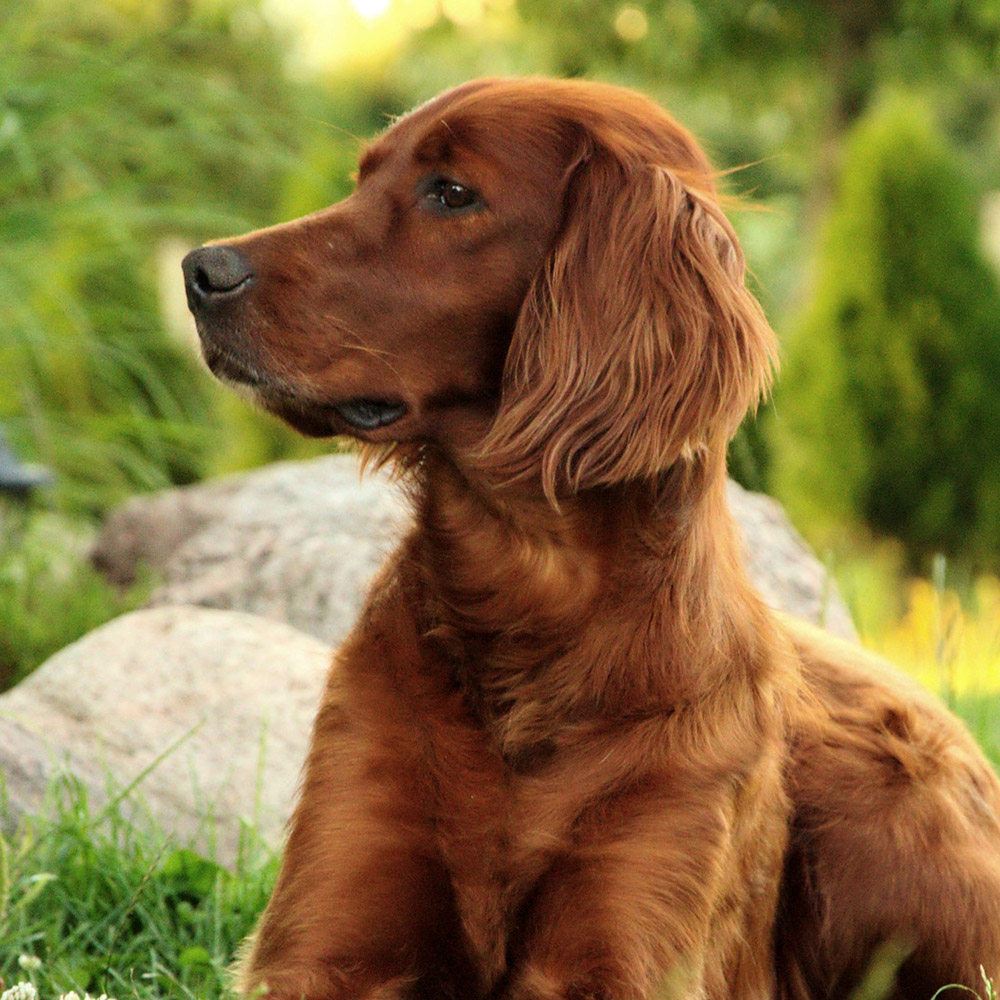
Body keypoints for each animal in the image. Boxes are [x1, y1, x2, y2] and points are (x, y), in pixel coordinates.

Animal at [182, 80, 1000, 1000]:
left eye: (451, 193)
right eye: (363, 178)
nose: (201, 270)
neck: (529, 598)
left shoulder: (623, 945)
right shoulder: (326, 940)